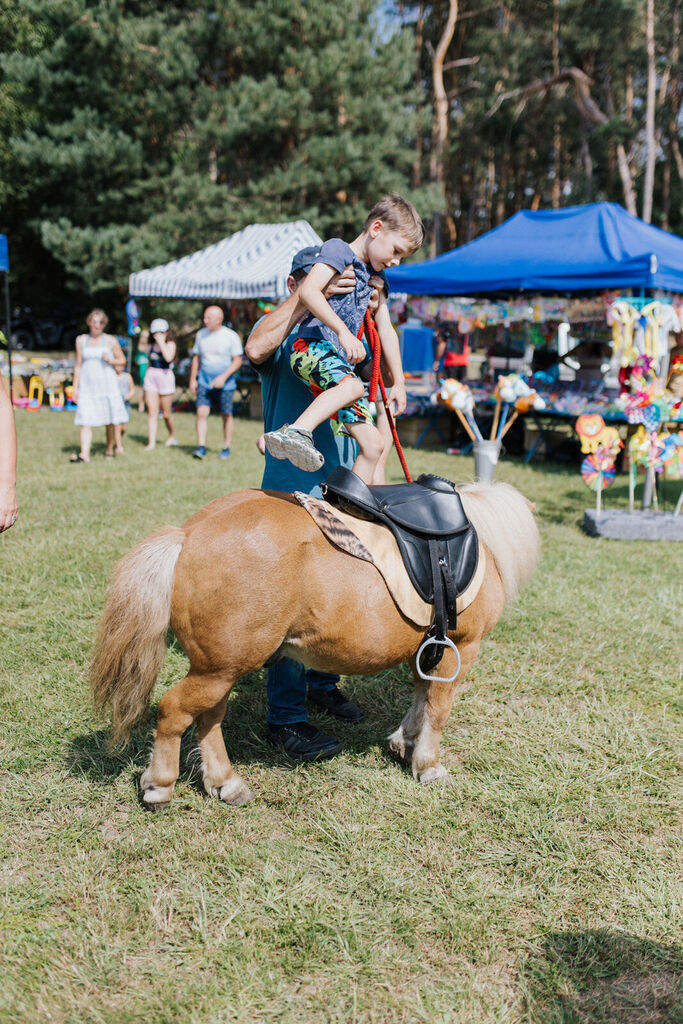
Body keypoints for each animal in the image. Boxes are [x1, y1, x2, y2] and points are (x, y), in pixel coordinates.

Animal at [90, 481, 540, 806]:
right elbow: (438, 708)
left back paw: (225, 782)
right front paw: (428, 765)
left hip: (221, 667)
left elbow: (420, 697)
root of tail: (188, 533)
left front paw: (405, 743)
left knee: (208, 718)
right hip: (220, 669)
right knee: (174, 711)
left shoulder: (428, 648)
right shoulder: (461, 646)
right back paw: (159, 784)